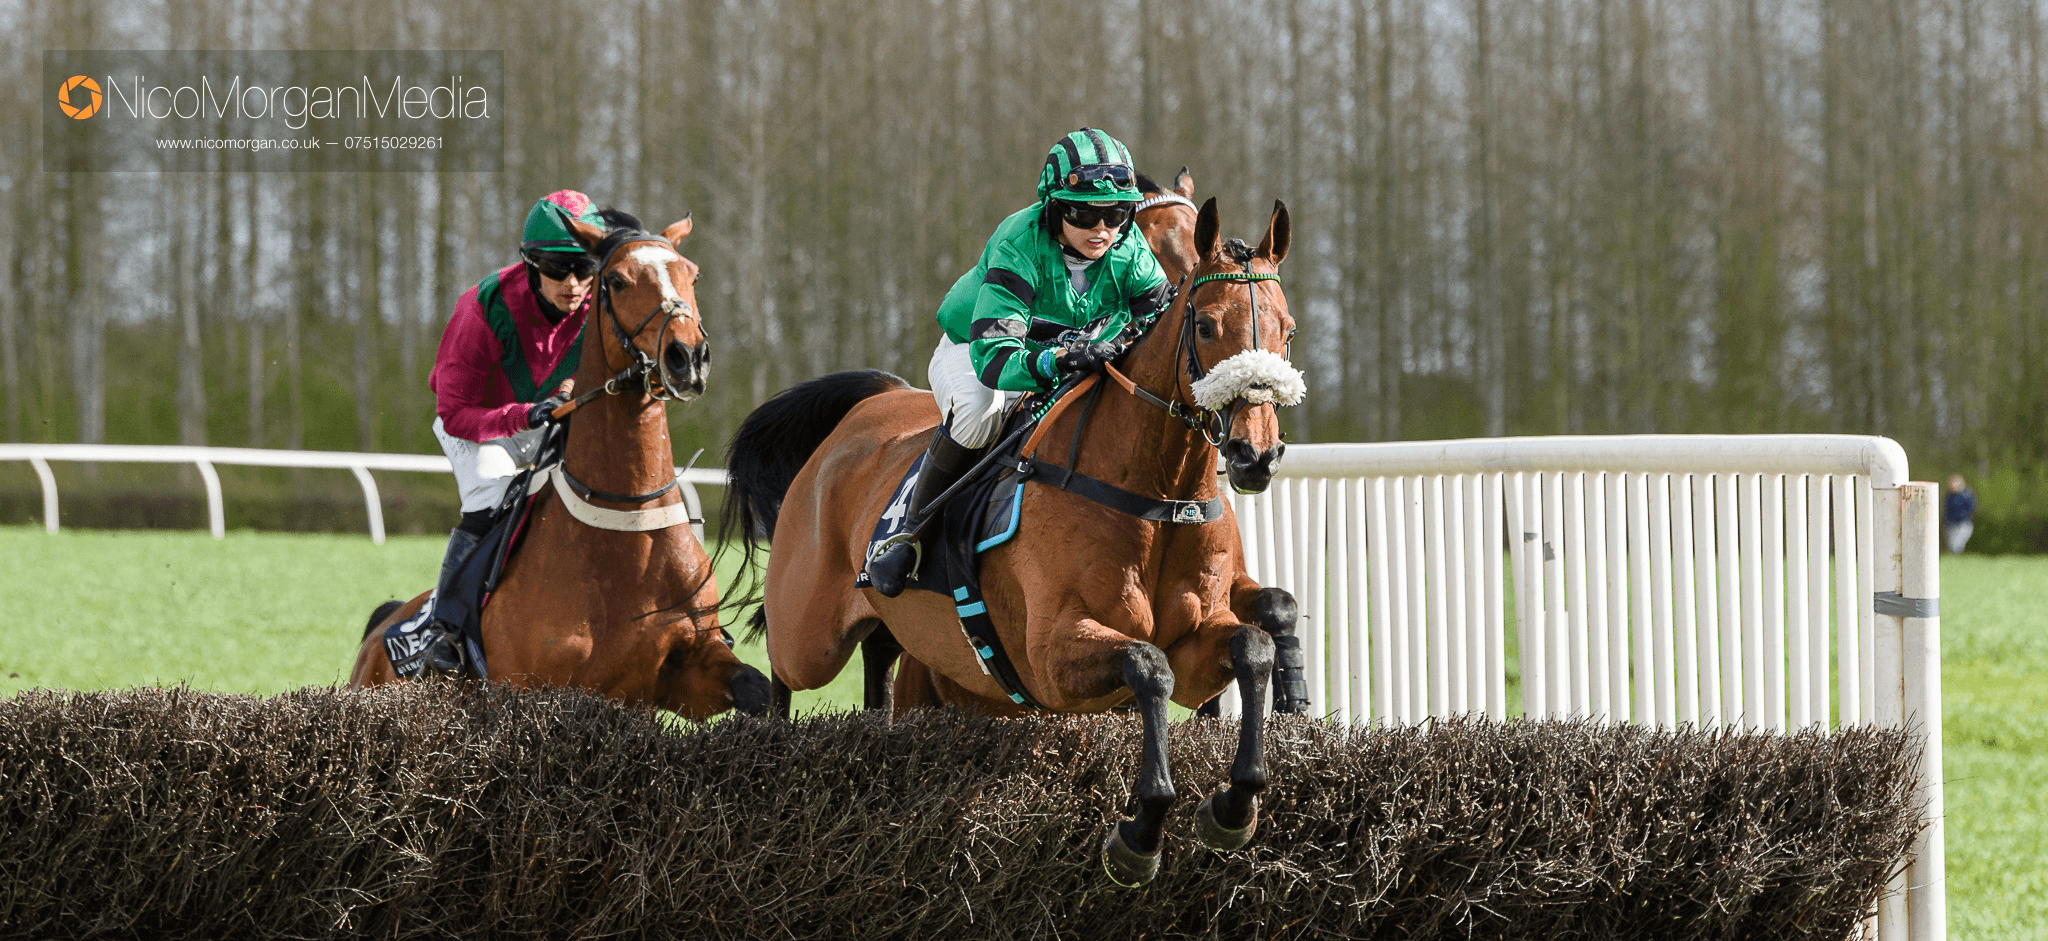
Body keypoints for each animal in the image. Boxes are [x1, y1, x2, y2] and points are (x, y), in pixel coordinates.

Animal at [350, 211, 770, 721]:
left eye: (692, 274)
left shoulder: (689, 672)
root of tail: (382, 625)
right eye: (617, 280)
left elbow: (757, 688)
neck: (624, 524)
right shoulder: (532, 688)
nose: (687, 357)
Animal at [720, 196, 1303, 886]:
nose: (1254, 454)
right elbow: (1147, 666)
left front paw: (1236, 803)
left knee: (880, 659)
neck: (1154, 490)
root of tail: (868, 408)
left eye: (1288, 328)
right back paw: (772, 749)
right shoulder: (1049, 655)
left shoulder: (1194, 641)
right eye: (1209, 326)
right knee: (783, 673)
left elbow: (1249, 647)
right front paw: (1140, 832)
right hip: (809, 629)